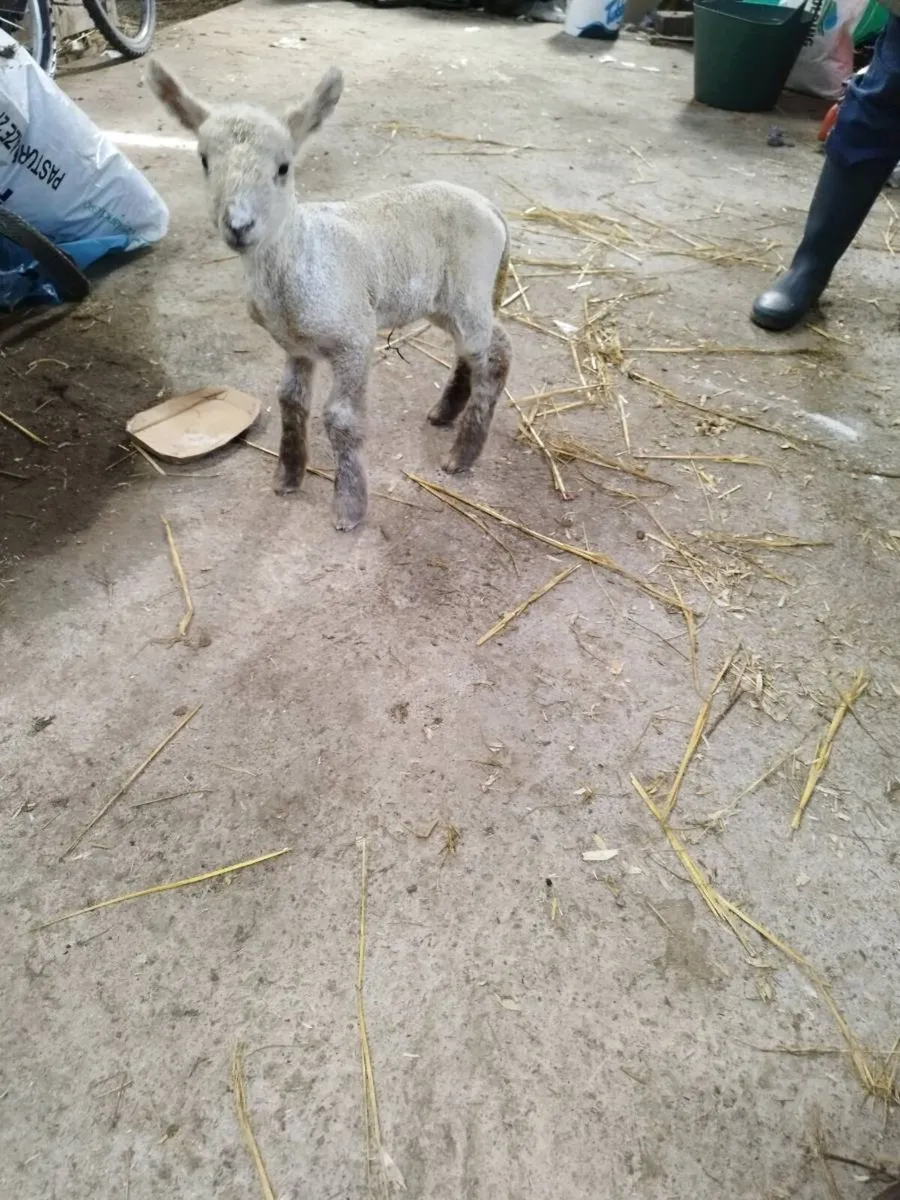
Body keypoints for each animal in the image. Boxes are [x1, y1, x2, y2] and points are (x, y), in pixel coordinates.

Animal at [146, 59, 512, 531]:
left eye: (283, 168)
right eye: (205, 161)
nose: (239, 226)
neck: (301, 251)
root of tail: (490, 207)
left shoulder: (354, 336)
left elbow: (341, 418)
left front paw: (349, 506)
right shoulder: (294, 346)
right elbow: (290, 401)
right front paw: (287, 476)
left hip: (470, 285)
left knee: (497, 351)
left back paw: (462, 455)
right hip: (444, 300)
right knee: (471, 350)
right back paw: (444, 413)